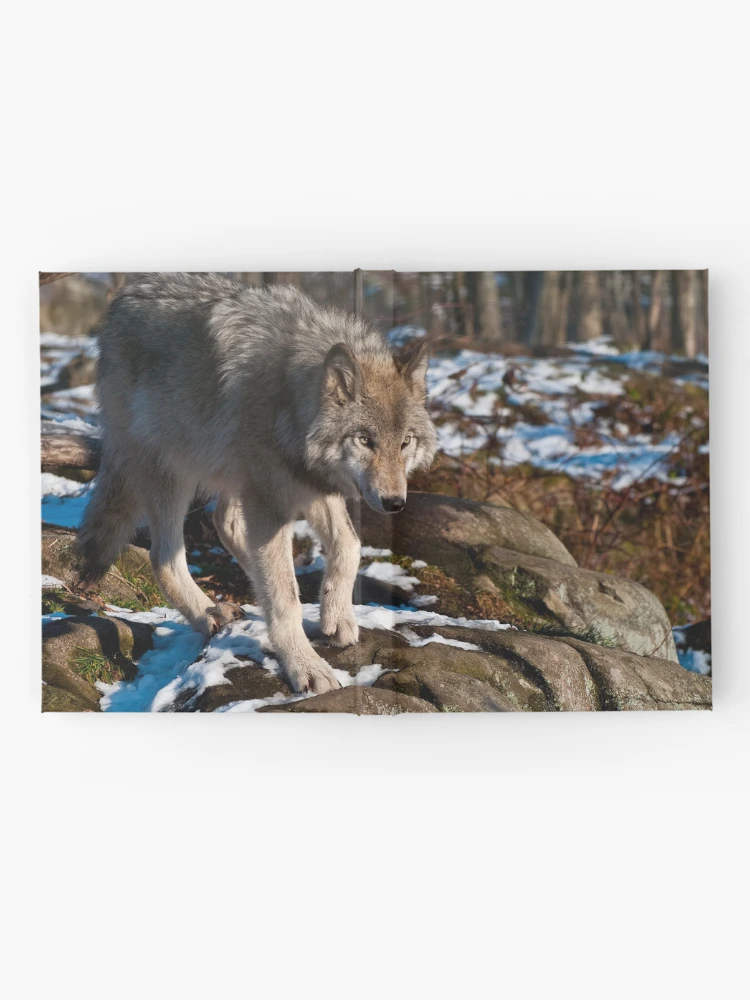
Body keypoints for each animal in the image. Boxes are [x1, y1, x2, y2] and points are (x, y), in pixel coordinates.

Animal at [78, 273, 437, 694]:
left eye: (405, 442)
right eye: (365, 440)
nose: (395, 502)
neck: (289, 400)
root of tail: (124, 298)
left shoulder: (308, 483)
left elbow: (349, 545)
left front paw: (337, 616)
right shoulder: (272, 497)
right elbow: (285, 597)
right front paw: (304, 666)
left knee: (226, 524)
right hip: (173, 470)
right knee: (164, 557)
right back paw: (209, 613)